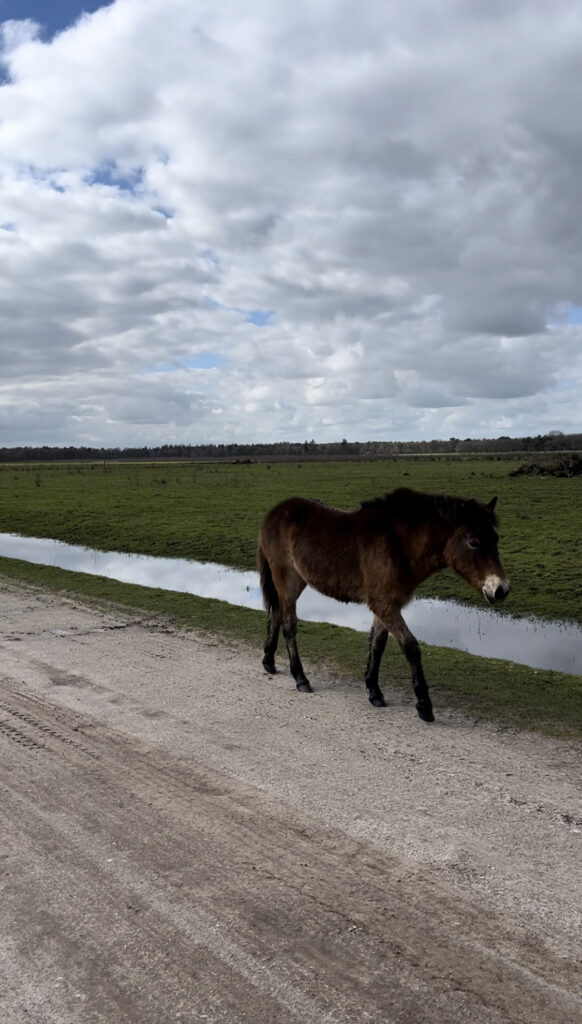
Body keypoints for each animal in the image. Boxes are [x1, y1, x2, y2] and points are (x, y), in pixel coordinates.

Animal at [259, 487, 508, 720]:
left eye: (496, 539)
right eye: (473, 542)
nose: (501, 589)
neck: (398, 545)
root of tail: (274, 512)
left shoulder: (387, 605)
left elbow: (377, 644)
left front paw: (374, 691)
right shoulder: (384, 605)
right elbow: (410, 646)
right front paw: (424, 705)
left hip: (295, 583)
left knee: (276, 615)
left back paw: (269, 661)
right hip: (287, 582)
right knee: (289, 625)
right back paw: (300, 678)